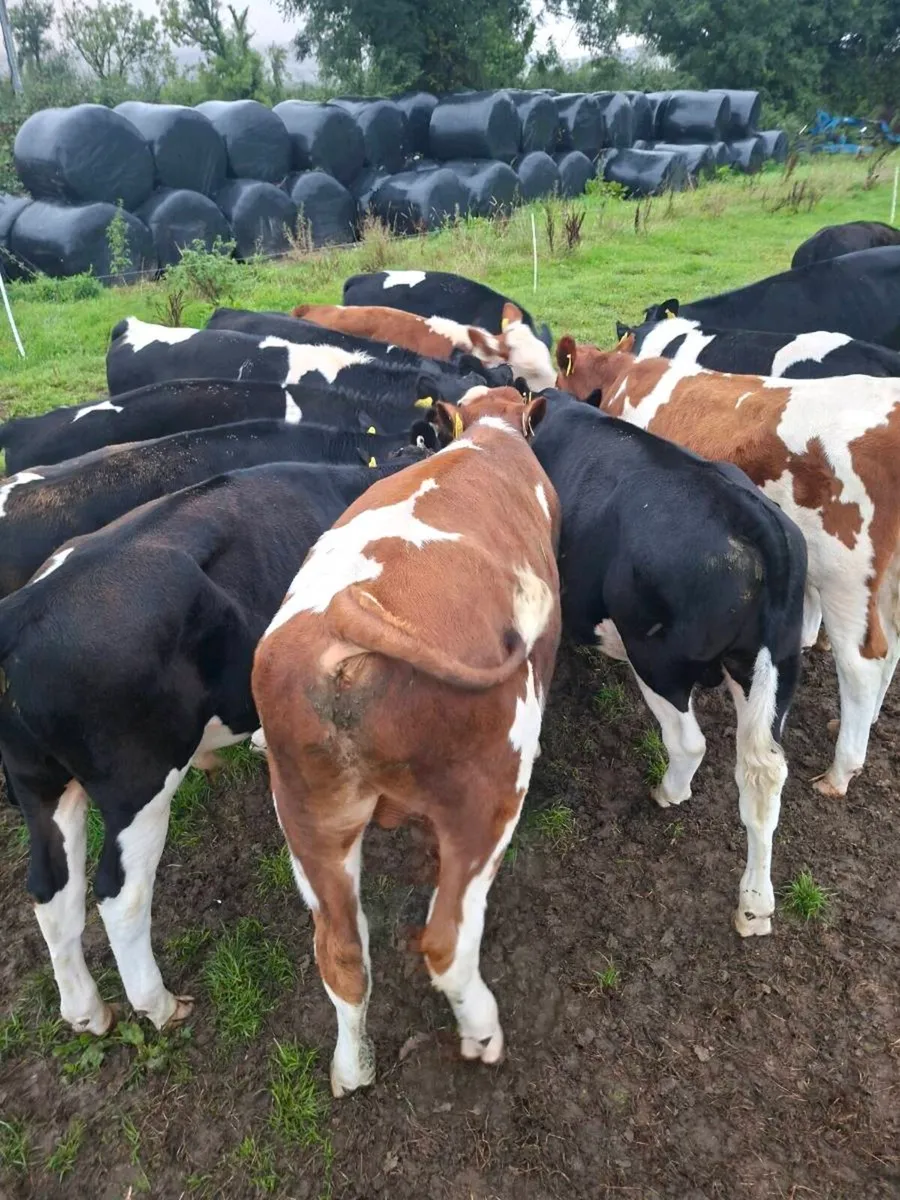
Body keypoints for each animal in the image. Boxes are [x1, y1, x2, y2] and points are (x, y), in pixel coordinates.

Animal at [0, 450, 430, 1039]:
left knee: (51, 891)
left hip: (40, 784)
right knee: (119, 895)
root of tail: (24, 608)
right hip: (138, 783)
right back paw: (159, 1004)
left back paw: (87, 1011)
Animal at [251, 391, 561, 1096]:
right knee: (445, 941)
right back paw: (482, 1033)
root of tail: (346, 616)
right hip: (486, 799)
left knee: (340, 952)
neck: (491, 433)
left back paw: (352, 1067)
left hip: (308, 820)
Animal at [425, 385, 806, 940]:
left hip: (659, 661)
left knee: (689, 743)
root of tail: (756, 521)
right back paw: (755, 905)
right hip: (771, 668)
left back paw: (669, 793)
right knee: (764, 772)